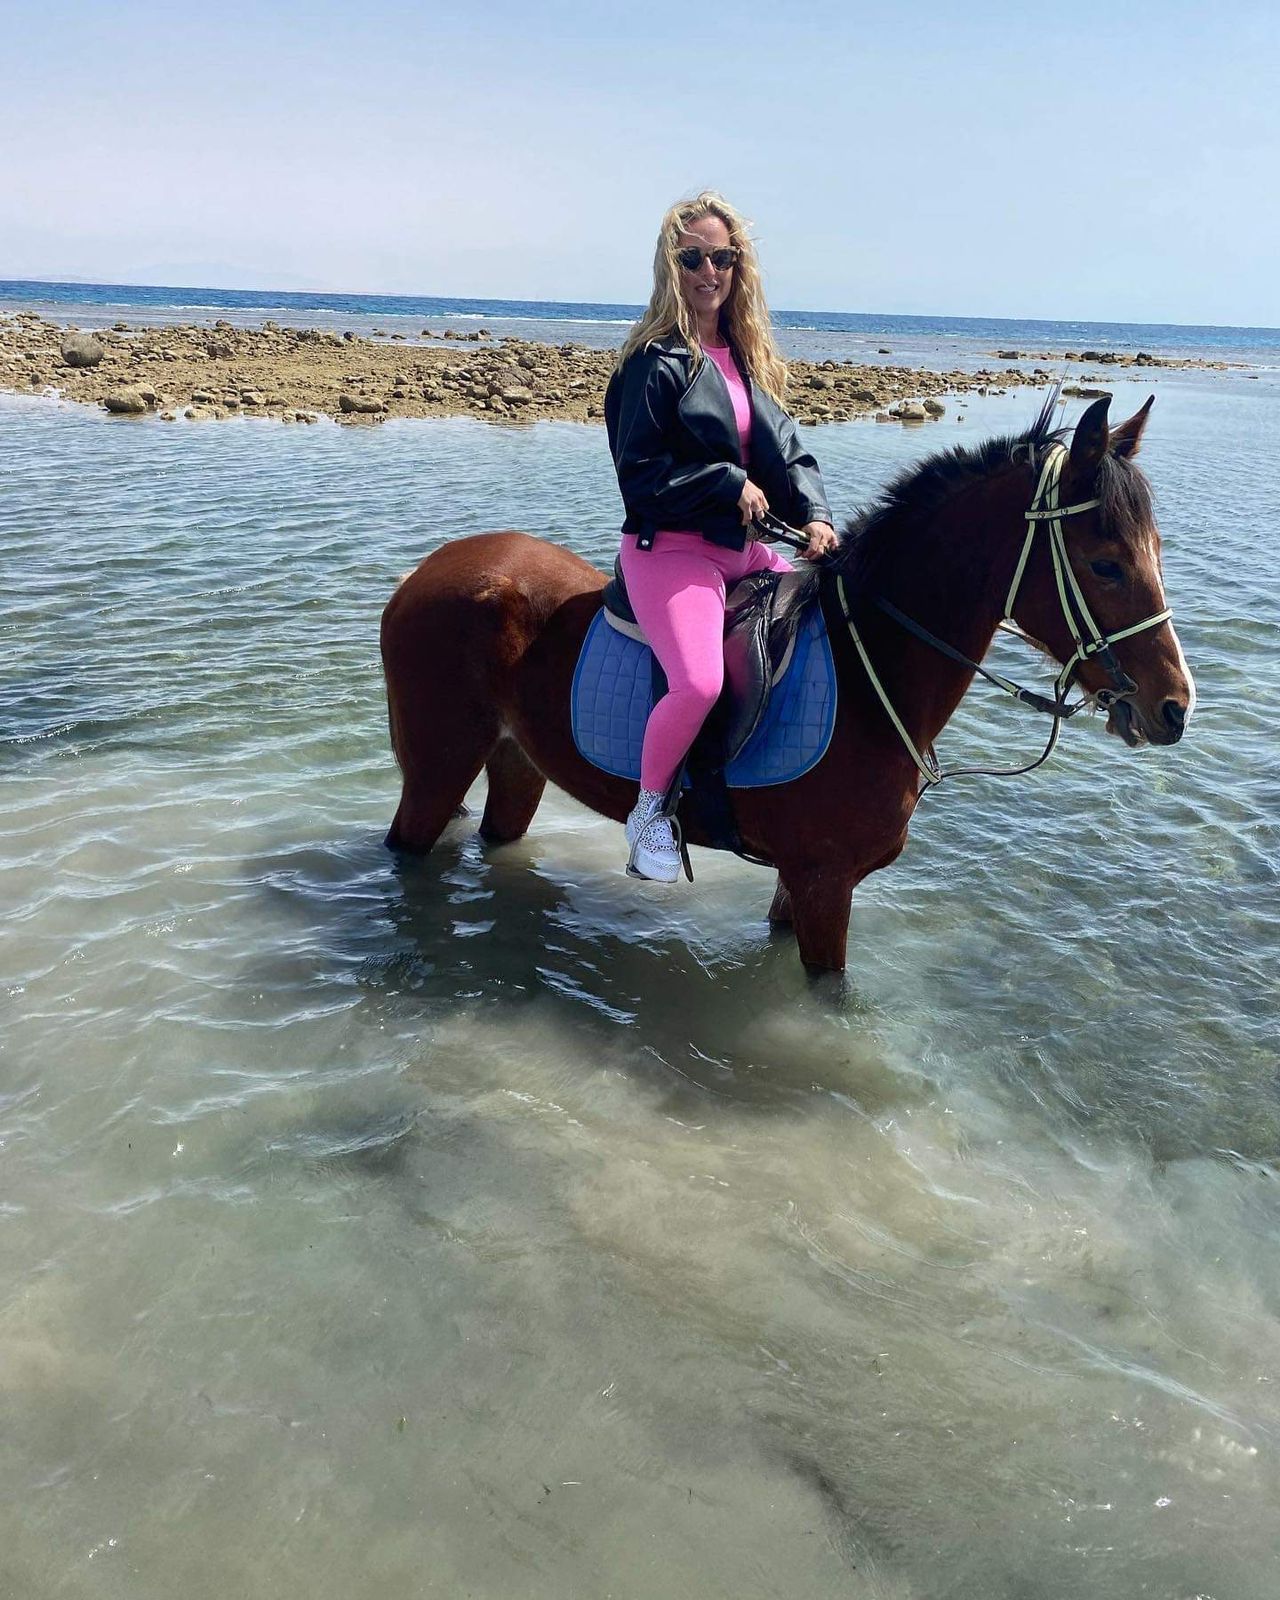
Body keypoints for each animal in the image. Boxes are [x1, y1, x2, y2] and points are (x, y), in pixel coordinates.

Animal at [379, 394, 1195, 973]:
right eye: (1105, 564)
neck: (872, 675)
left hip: (516, 765)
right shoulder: (825, 884)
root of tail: (428, 570)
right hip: (436, 771)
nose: (1174, 707)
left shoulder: (800, 883)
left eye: (1156, 550)